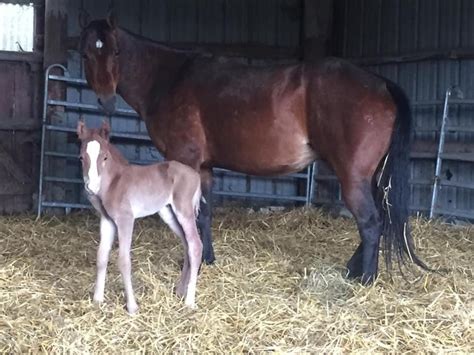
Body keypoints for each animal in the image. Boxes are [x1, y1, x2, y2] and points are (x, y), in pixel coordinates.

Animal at [76, 120, 202, 314]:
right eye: (82, 158)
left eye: (104, 157)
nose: (92, 187)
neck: (114, 182)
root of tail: (196, 175)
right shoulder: (107, 220)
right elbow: (101, 256)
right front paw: (97, 299)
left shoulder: (125, 219)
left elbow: (123, 260)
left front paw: (132, 306)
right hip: (169, 213)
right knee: (187, 244)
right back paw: (181, 291)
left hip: (184, 211)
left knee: (195, 245)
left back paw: (189, 301)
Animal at [79, 15, 428, 286]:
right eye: (85, 54)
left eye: (116, 51)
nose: (107, 100)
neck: (169, 78)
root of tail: (380, 83)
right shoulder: (203, 167)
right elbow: (204, 213)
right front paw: (206, 258)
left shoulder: (185, 160)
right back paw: (354, 269)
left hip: (353, 177)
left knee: (370, 223)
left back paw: (365, 279)